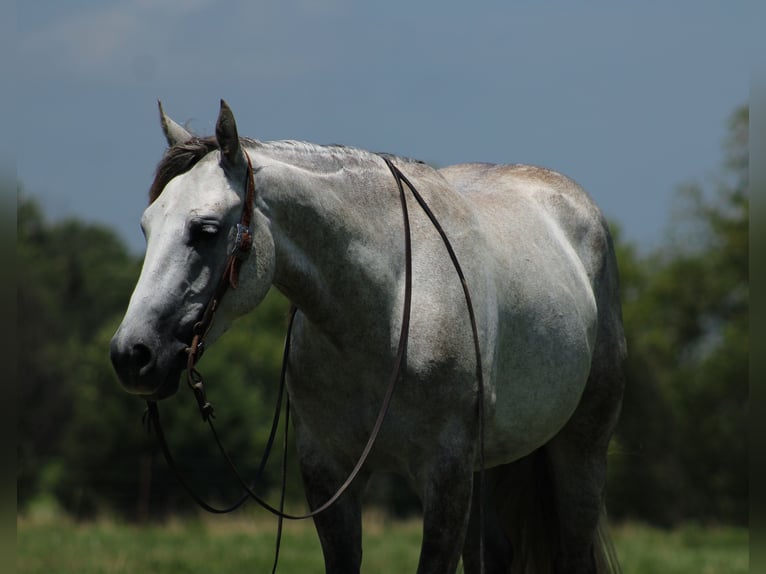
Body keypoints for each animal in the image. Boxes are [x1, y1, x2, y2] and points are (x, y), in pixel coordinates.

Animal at [110, 100, 626, 574]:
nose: (131, 354)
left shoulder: (445, 475)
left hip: (580, 449)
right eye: (147, 225)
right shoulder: (328, 474)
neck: (389, 309)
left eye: (206, 229)